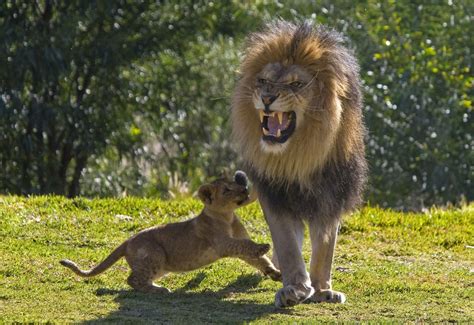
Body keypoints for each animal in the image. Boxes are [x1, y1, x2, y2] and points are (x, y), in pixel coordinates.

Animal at [231, 21, 368, 308]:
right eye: (263, 80)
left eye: (295, 84)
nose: (267, 97)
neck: (297, 157)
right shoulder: (276, 197)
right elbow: (287, 245)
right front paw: (294, 288)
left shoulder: (331, 197)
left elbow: (325, 248)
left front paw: (322, 289)